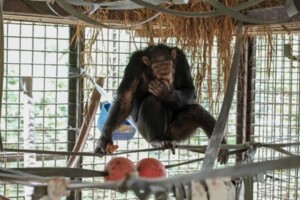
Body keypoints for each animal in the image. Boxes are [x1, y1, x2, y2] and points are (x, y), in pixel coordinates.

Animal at [95, 43, 229, 164]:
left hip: (175, 132)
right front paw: (105, 139)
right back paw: (157, 139)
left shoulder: (181, 59)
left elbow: (188, 88)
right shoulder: (134, 65)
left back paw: (221, 147)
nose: (165, 74)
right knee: (152, 100)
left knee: (196, 111)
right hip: (145, 132)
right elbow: (126, 99)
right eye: (158, 67)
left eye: (167, 65)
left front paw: (166, 94)